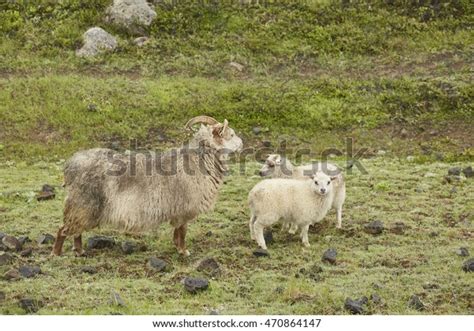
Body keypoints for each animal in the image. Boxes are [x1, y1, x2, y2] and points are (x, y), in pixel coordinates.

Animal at [51, 115, 243, 258]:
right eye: (231, 135)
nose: (242, 144)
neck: (199, 160)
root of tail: (71, 165)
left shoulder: (178, 210)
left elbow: (177, 231)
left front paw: (177, 248)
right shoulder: (184, 208)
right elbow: (182, 231)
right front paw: (184, 251)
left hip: (83, 207)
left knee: (75, 231)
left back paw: (79, 251)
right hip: (82, 204)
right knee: (63, 230)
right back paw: (56, 254)